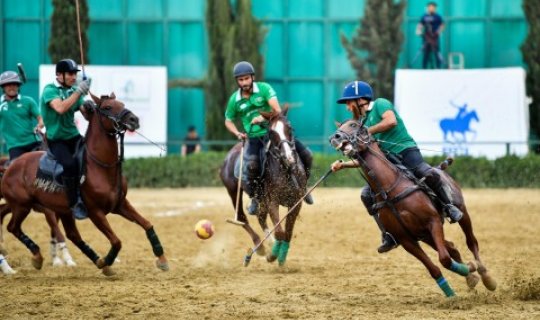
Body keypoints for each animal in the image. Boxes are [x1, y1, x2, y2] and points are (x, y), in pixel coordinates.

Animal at [1, 92, 168, 276]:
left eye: (122, 104)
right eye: (107, 107)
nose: (134, 119)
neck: (101, 166)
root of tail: (11, 166)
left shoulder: (120, 204)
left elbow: (147, 224)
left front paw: (161, 259)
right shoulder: (95, 212)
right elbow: (117, 241)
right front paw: (107, 260)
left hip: (61, 210)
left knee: (72, 235)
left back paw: (94, 259)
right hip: (22, 206)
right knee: (13, 227)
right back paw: (37, 256)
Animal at [220, 107, 308, 264]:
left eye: (290, 128)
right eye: (271, 133)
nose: (289, 158)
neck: (286, 170)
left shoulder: (296, 202)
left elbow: (288, 232)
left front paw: (281, 255)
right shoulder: (273, 201)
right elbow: (279, 231)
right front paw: (273, 255)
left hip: (261, 198)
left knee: (261, 216)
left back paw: (269, 243)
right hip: (233, 190)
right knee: (242, 217)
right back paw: (260, 246)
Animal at [326, 120, 496, 298]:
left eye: (353, 124)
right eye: (340, 126)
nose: (334, 137)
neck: (390, 189)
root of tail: (439, 168)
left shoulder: (433, 222)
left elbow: (444, 259)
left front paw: (470, 271)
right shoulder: (406, 239)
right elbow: (434, 269)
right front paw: (455, 291)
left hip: (461, 212)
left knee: (471, 242)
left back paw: (486, 277)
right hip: (424, 235)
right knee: (452, 247)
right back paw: (471, 277)